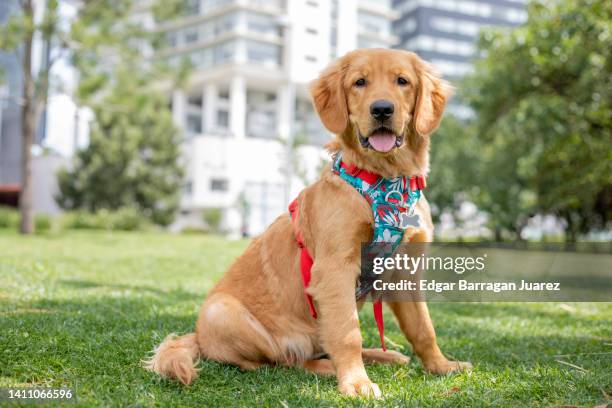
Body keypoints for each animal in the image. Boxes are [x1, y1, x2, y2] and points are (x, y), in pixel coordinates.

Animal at [146, 48, 470, 398]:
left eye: (402, 81)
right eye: (360, 82)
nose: (382, 109)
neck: (385, 181)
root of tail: (198, 337)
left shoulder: (405, 273)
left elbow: (423, 327)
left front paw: (441, 366)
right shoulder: (334, 268)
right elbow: (347, 333)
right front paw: (356, 382)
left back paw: (383, 356)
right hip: (223, 312)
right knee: (285, 360)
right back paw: (335, 368)